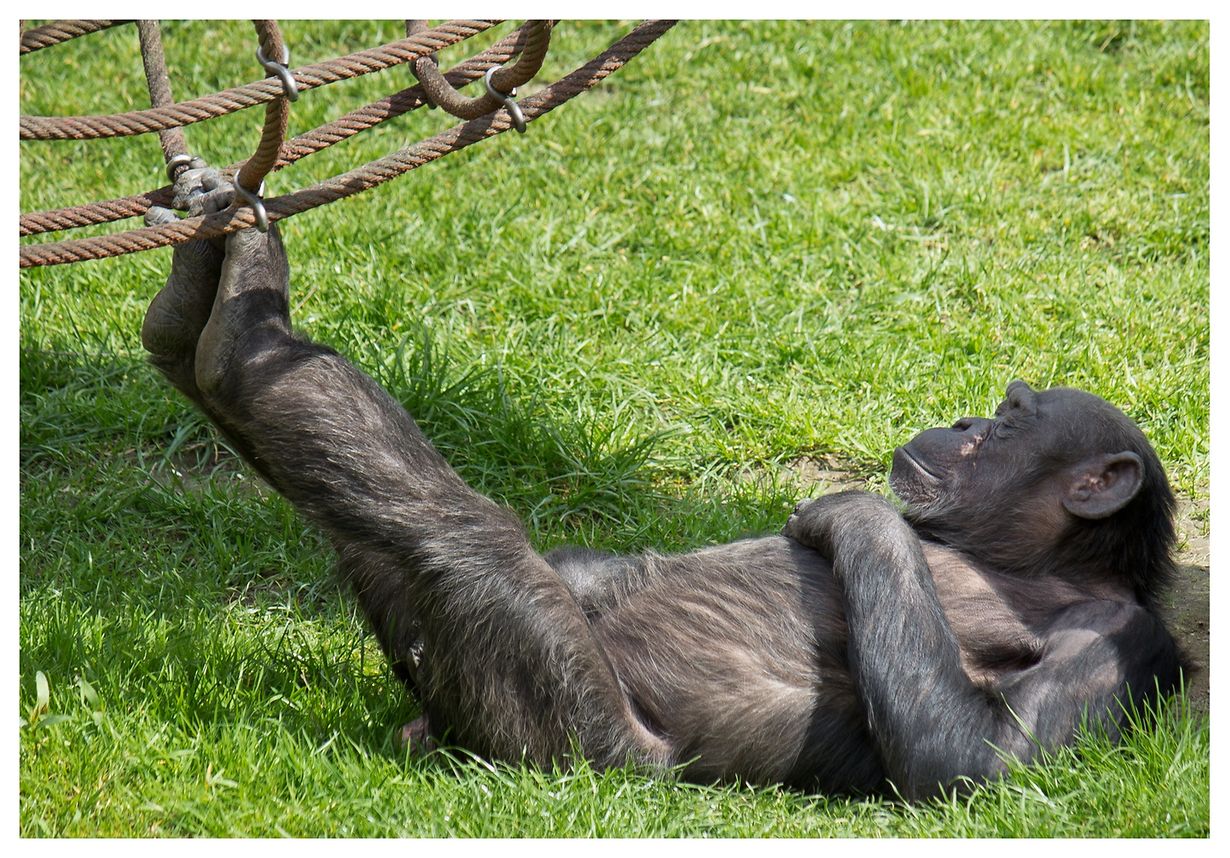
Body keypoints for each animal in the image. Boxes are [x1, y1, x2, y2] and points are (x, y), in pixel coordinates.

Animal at [142, 163, 1183, 799]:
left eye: (1005, 423)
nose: (967, 423)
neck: (1020, 560)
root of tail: (437, 732)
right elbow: (604, 566)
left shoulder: (1115, 645)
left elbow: (976, 763)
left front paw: (854, 516)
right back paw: (200, 286)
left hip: (560, 727)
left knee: (454, 534)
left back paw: (238, 327)